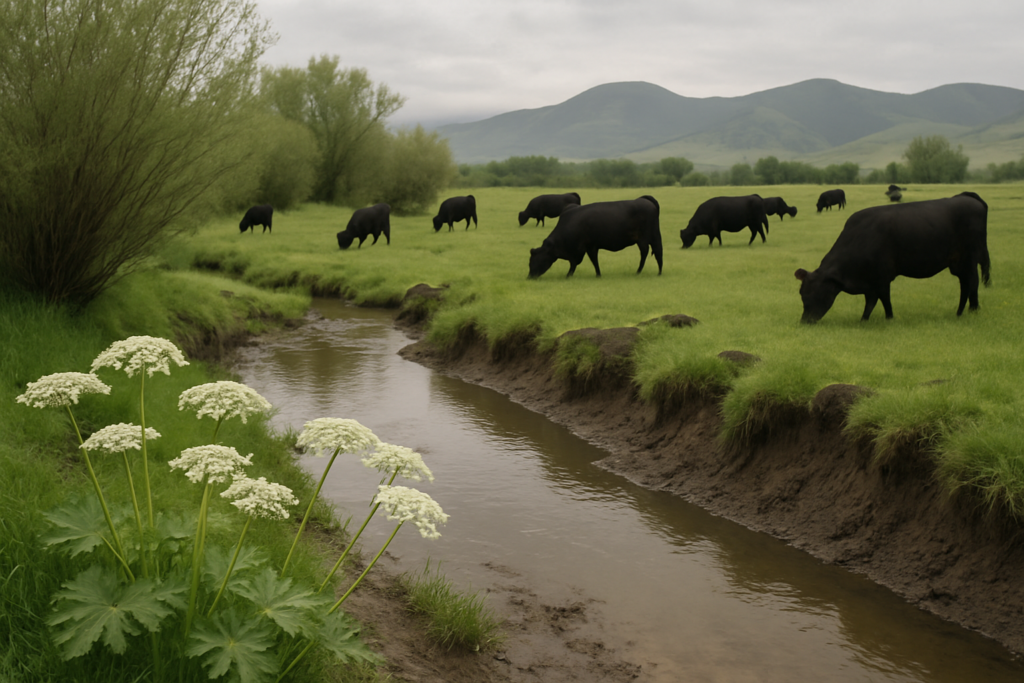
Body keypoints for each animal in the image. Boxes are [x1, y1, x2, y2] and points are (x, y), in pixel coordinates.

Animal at [528, 196, 663, 278]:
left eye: (534, 260)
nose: (530, 276)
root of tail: (643, 199)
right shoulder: (582, 249)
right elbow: (578, 263)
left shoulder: (589, 246)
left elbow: (591, 261)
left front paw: (596, 275)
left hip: (651, 236)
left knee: (655, 252)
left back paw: (651, 272)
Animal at [794, 192, 990, 323]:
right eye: (802, 293)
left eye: (816, 292)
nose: (805, 321)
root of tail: (967, 197)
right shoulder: (870, 282)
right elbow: (870, 303)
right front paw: (863, 320)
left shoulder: (882, 278)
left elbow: (884, 300)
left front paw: (889, 318)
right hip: (958, 264)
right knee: (966, 285)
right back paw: (964, 312)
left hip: (969, 260)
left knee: (972, 283)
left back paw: (969, 310)